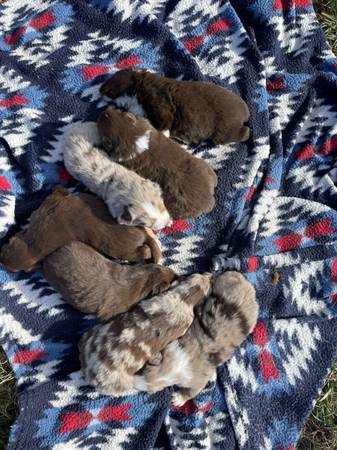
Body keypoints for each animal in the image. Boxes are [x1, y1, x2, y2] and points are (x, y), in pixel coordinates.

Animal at [77, 270, 211, 394]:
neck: (184, 296)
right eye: (209, 285)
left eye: (199, 274)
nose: (210, 274)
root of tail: (87, 369)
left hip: (91, 332)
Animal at [98, 69, 248, 145]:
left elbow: (165, 121)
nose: (99, 89)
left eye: (113, 77)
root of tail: (245, 111)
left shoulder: (159, 98)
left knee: (242, 132)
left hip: (224, 129)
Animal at [134, 272, 258, 406]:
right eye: (139, 370)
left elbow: (192, 392)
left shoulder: (199, 380)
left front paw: (178, 399)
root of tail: (245, 282)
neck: (171, 367)